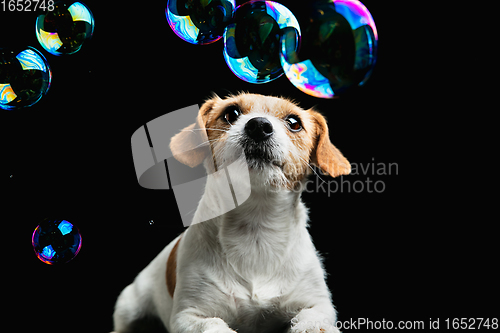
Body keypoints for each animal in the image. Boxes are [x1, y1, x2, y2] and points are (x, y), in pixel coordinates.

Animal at [113, 92, 350, 330]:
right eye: (231, 113)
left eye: (294, 122)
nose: (259, 125)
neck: (256, 226)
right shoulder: (187, 315)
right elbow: (213, 324)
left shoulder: (318, 305)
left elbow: (311, 320)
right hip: (129, 306)